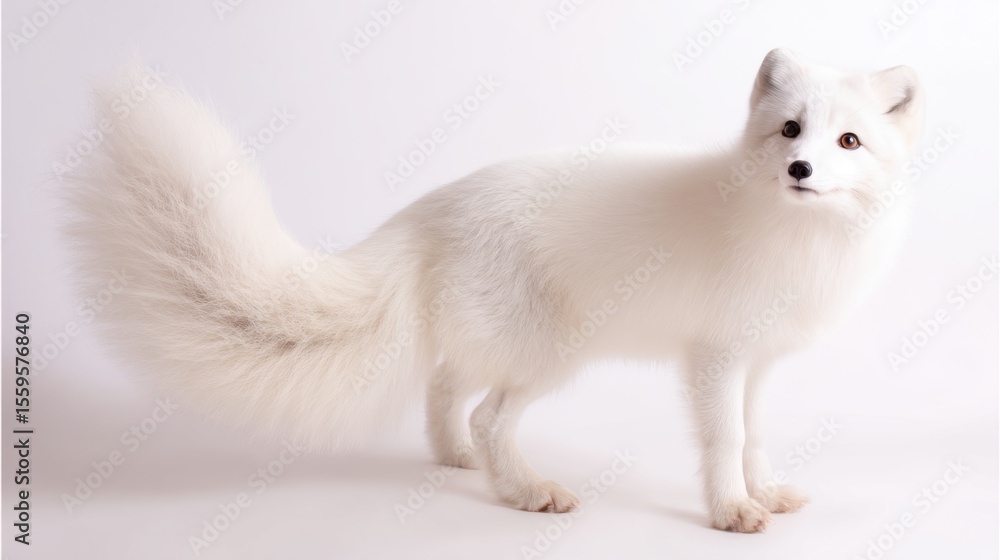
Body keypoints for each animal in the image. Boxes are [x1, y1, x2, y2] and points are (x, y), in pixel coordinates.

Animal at [64, 48, 923, 532]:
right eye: (790, 130)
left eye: (848, 140)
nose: (800, 169)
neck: (791, 236)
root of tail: (432, 208)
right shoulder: (714, 358)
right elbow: (723, 440)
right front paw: (730, 512)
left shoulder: (758, 362)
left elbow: (755, 436)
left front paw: (764, 492)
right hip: (551, 353)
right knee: (486, 414)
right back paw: (526, 491)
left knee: (447, 388)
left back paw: (452, 459)